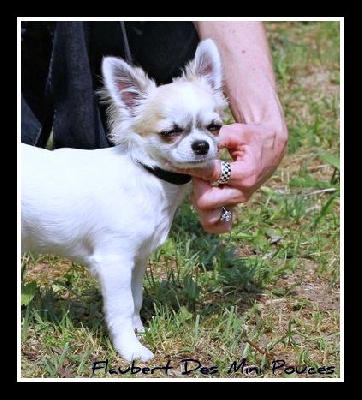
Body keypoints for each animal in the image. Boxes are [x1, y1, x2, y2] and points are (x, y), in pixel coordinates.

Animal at [21, 38, 226, 362]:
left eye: (214, 127)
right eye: (170, 133)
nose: (201, 145)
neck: (149, 177)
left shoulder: (137, 259)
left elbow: (135, 299)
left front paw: (138, 329)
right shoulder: (114, 260)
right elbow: (121, 307)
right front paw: (131, 349)